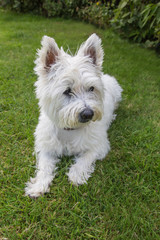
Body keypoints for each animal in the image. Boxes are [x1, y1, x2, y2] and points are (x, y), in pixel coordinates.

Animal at [25, 34, 122, 199]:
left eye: (91, 88)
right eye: (67, 91)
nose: (88, 114)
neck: (70, 129)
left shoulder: (98, 145)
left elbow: (85, 159)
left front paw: (76, 175)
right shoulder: (46, 147)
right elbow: (45, 167)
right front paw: (38, 185)